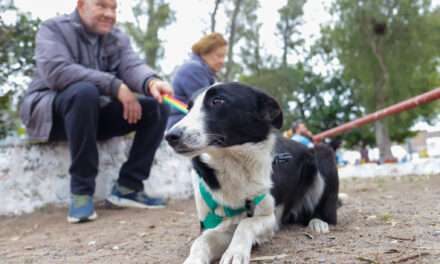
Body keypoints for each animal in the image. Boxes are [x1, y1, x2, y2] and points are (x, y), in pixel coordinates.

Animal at [163, 82, 338, 264]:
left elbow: (246, 224)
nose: (170, 136)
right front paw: (194, 259)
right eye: (188, 108)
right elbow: (202, 240)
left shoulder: (270, 218)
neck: (234, 164)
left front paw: (235, 251)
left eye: (218, 101)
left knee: (328, 214)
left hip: (323, 152)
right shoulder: (213, 225)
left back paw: (318, 222)